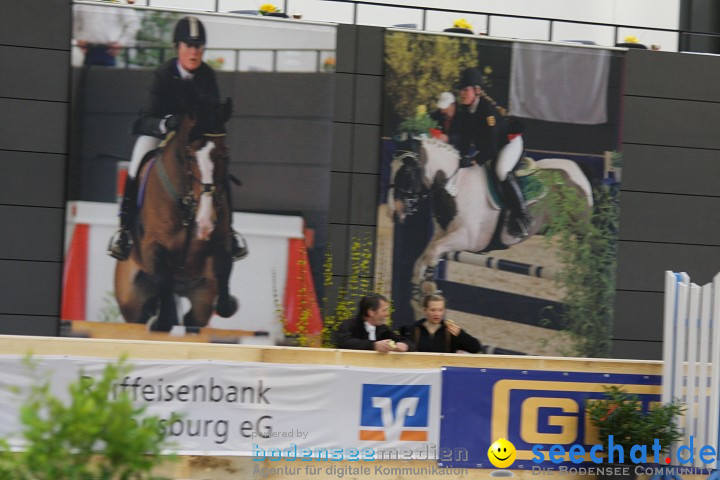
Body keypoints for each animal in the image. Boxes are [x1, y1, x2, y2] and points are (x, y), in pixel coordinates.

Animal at [115, 97, 238, 330]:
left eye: (225, 155)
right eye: (190, 157)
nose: (205, 223)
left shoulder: (219, 239)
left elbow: (223, 264)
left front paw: (227, 306)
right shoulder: (154, 245)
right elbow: (164, 278)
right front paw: (162, 320)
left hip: (201, 293)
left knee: (194, 317)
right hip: (130, 300)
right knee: (142, 313)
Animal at [390, 137, 592, 300]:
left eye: (406, 170)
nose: (395, 212)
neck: (454, 187)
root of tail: (578, 168)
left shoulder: (467, 239)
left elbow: (433, 253)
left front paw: (428, 285)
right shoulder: (442, 234)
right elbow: (424, 256)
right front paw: (419, 286)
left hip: (581, 230)